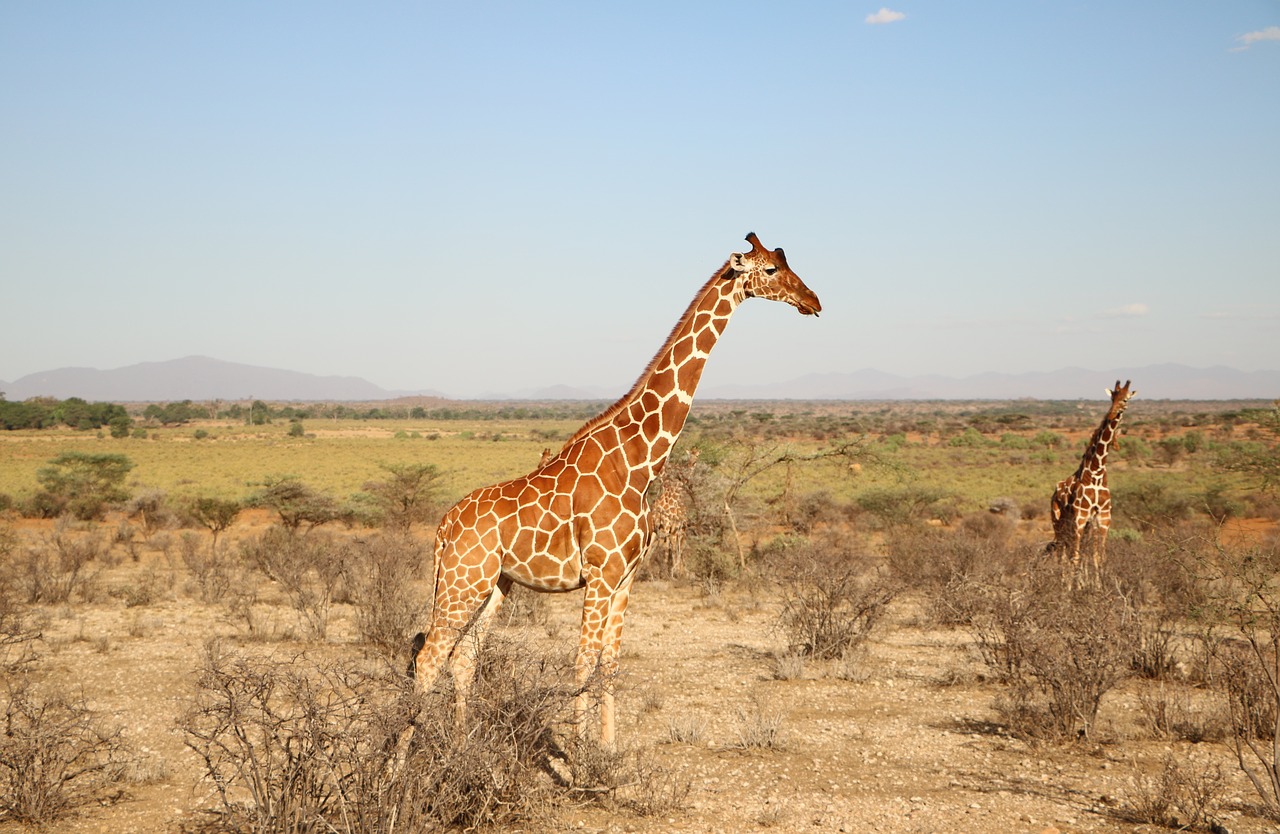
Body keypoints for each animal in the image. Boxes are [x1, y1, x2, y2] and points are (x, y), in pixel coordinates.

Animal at [401, 231, 819, 747]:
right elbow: (582, 660)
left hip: (495, 584)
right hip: (463, 580)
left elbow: (610, 662)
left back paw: (464, 748)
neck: (639, 460)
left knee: (462, 657)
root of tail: (442, 527)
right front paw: (579, 754)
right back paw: (401, 762)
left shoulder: (626, 578)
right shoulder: (600, 574)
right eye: (771, 271)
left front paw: (609, 749)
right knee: (428, 656)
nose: (813, 301)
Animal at [1049, 378, 1141, 585]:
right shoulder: (1080, 517)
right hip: (1059, 521)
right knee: (1061, 552)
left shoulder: (1103, 518)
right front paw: (1072, 589)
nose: (1112, 413)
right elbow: (1075, 557)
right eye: (1112, 398)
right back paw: (1062, 583)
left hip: (1081, 526)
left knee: (1072, 551)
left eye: (1125, 399)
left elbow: (1098, 557)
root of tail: (1054, 492)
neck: (1096, 473)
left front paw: (1097, 587)